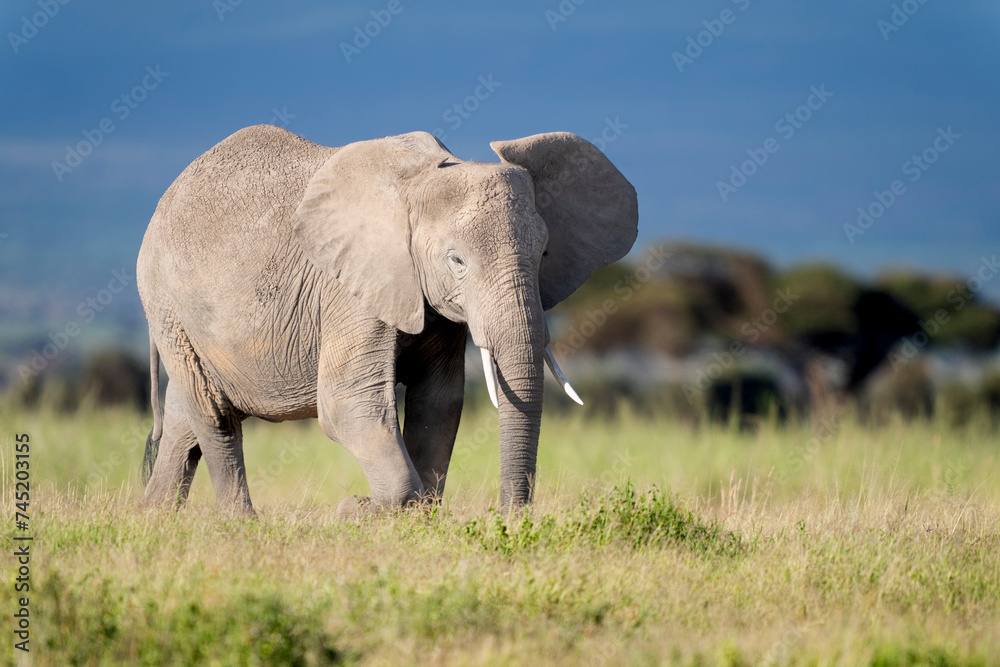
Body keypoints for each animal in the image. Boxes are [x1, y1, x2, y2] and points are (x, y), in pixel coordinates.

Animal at [137, 125, 636, 516]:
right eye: (457, 260)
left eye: (545, 254)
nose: (510, 519)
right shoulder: (350, 289)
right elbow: (348, 404)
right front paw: (355, 510)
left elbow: (439, 401)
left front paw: (414, 517)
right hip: (165, 302)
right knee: (214, 416)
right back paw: (242, 525)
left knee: (186, 419)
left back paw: (154, 518)